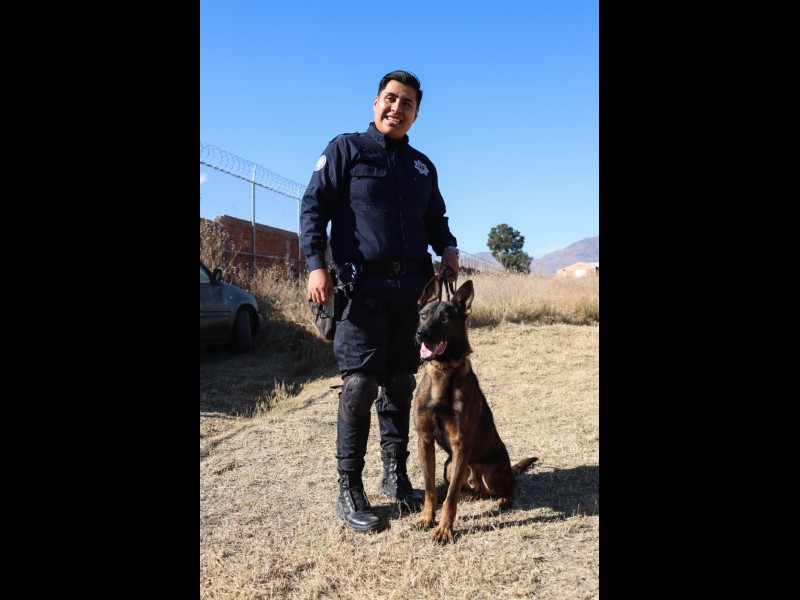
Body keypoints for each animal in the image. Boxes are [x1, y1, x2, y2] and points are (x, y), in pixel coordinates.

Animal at [413, 275, 538, 544]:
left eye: (445, 318)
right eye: (424, 315)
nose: (421, 333)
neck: (442, 372)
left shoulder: (460, 445)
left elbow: (449, 498)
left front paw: (444, 530)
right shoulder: (424, 440)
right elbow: (430, 488)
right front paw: (427, 519)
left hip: (488, 471)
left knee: (510, 486)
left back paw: (503, 499)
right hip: (450, 466)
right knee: (463, 488)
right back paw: (469, 495)